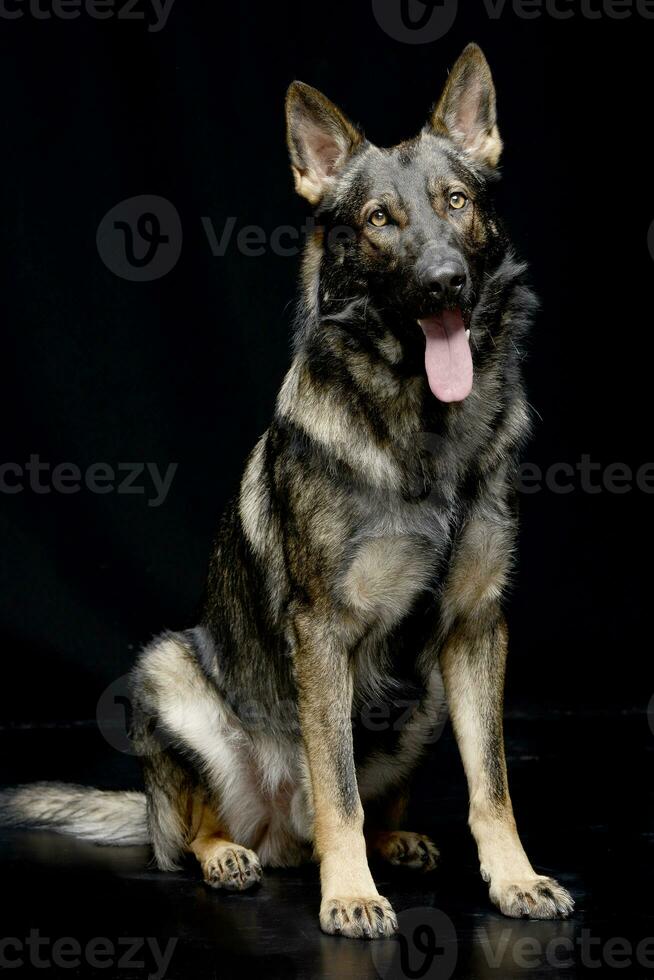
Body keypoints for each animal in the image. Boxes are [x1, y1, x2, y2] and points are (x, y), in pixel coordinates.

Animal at [0, 46, 576, 940]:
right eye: (379, 220)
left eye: (455, 202)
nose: (445, 282)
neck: (424, 433)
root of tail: (279, 833)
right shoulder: (324, 634)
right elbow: (337, 786)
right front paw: (350, 894)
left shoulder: (477, 628)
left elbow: (493, 785)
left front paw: (514, 878)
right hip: (169, 673)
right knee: (199, 832)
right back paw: (230, 856)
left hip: (426, 699)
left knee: (370, 805)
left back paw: (397, 840)